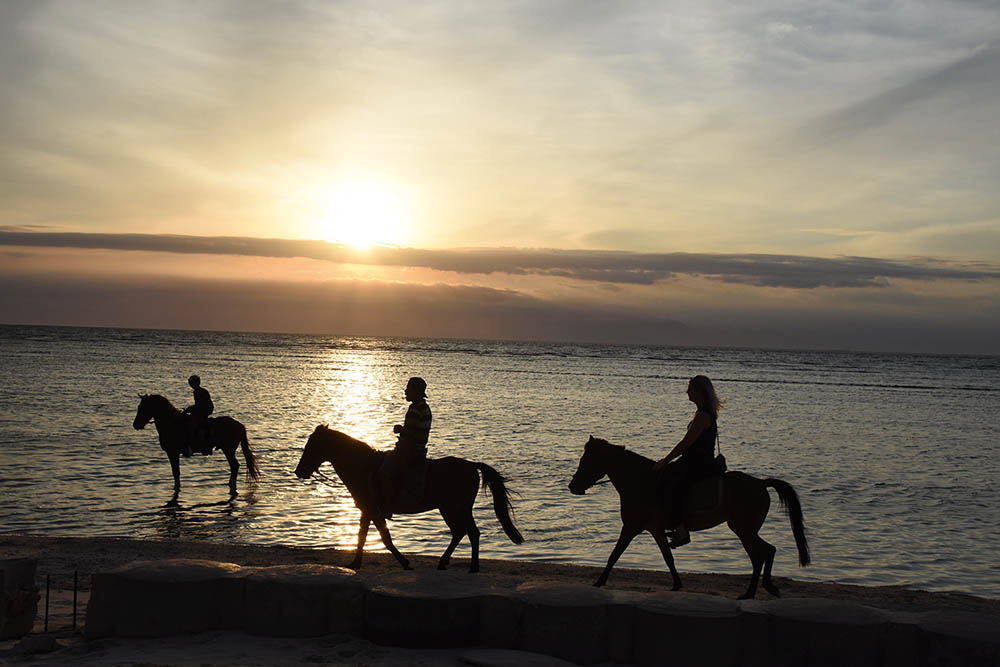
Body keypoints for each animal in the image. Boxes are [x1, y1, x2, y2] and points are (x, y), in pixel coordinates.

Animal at [131, 394, 260, 498]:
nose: (135, 425)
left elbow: (176, 473)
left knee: (234, 466)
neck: (171, 423)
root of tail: (240, 425)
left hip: (228, 450)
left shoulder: (172, 453)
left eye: (142, 408)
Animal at [292, 426, 524, 572]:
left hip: (455, 508)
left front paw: (404, 562)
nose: (299, 471)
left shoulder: (372, 510)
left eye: (311, 446)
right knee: (460, 532)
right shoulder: (367, 510)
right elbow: (363, 537)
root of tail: (471, 465)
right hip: (451, 509)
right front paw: (355, 563)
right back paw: (444, 562)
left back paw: (473, 567)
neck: (363, 467)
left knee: (471, 533)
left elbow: (384, 538)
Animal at [568, 438, 808, 600]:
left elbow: (614, 555)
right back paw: (764, 588)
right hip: (745, 529)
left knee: (761, 555)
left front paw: (599, 582)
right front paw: (677, 584)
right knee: (767, 551)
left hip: (743, 529)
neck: (641, 482)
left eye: (586, 460)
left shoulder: (631, 527)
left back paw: (751, 592)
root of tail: (761, 483)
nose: (573, 487)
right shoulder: (654, 529)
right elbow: (668, 558)